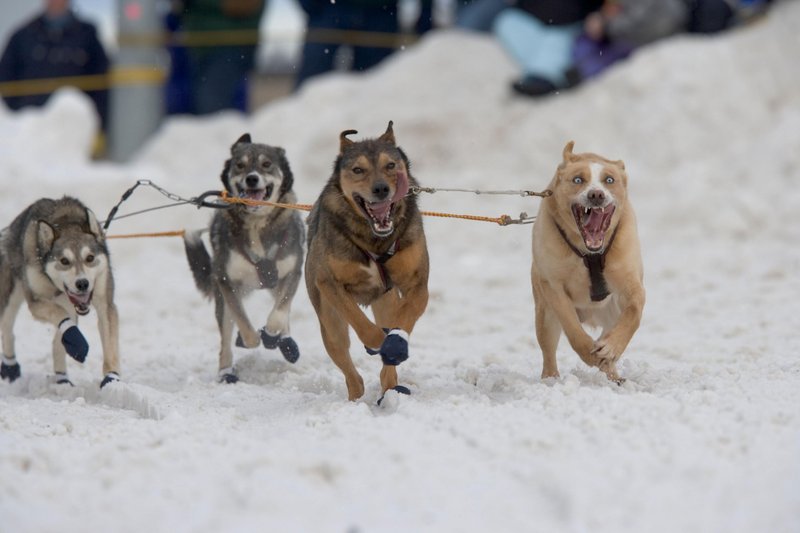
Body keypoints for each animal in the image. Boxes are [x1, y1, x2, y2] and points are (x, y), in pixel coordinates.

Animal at [306, 122, 432, 402]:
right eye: (358, 169)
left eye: (391, 165)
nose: (381, 189)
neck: (375, 240)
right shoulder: (329, 283)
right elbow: (361, 323)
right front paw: (378, 340)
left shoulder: (417, 285)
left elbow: (406, 316)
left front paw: (395, 343)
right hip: (329, 321)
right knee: (350, 371)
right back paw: (356, 396)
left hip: (386, 302)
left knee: (388, 362)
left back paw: (390, 388)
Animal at [532, 141, 644, 382]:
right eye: (577, 180)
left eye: (609, 180)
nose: (596, 195)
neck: (589, 253)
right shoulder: (554, 287)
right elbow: (572, 328)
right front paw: (588, 353)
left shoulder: (630, 281)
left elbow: (634, 311)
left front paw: (612, 347)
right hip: (545, 315)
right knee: (548, 351)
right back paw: (551, 379)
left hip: (612, 312)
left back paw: (613, 376)